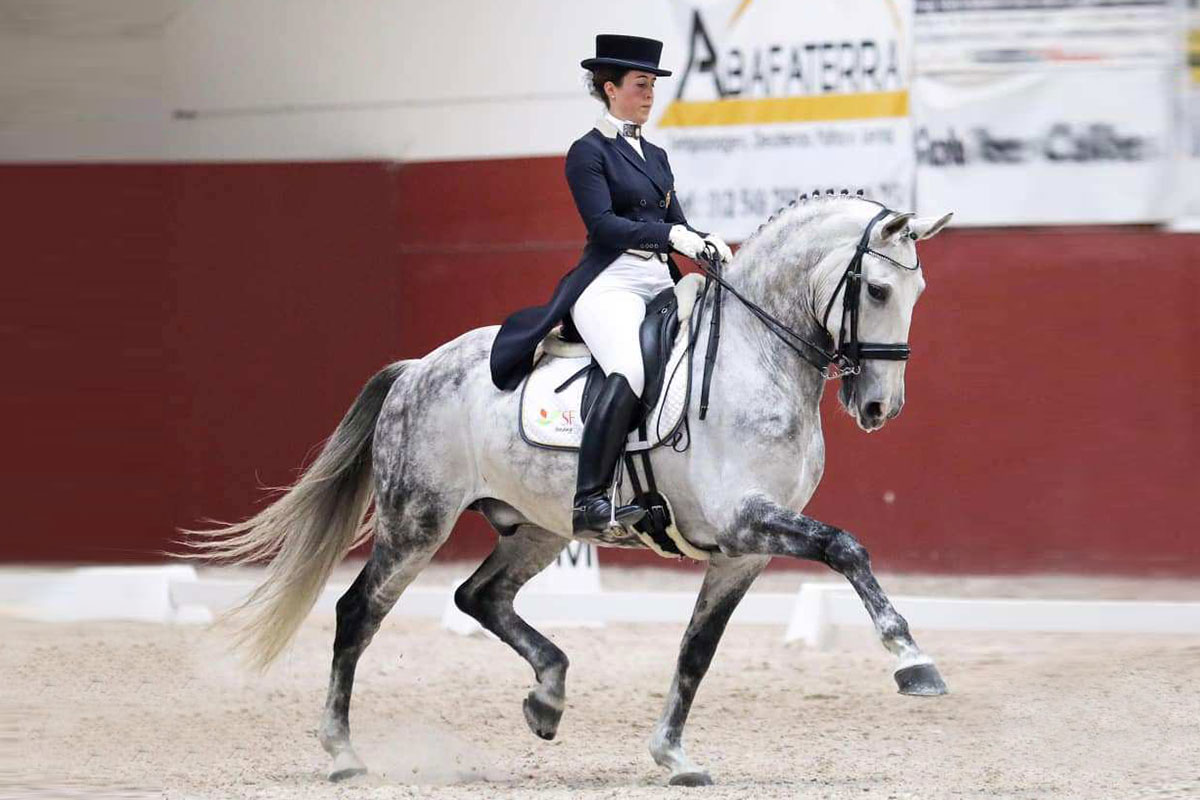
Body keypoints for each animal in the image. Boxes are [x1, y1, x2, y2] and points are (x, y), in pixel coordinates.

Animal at [184, 195, 955, 786]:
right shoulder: (745, 520)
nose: (879, 407)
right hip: (417, 521)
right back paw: (343, 754)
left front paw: (673, 757)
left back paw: (547, 698)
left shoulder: (744, 551)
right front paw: (914, 663)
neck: (753, 356)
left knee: (479, 596)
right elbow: (846, 547)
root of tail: (416, 368)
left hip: (537, 528)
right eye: (878, 290)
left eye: (919, 295)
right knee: (358, 613)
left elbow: (696, 651)